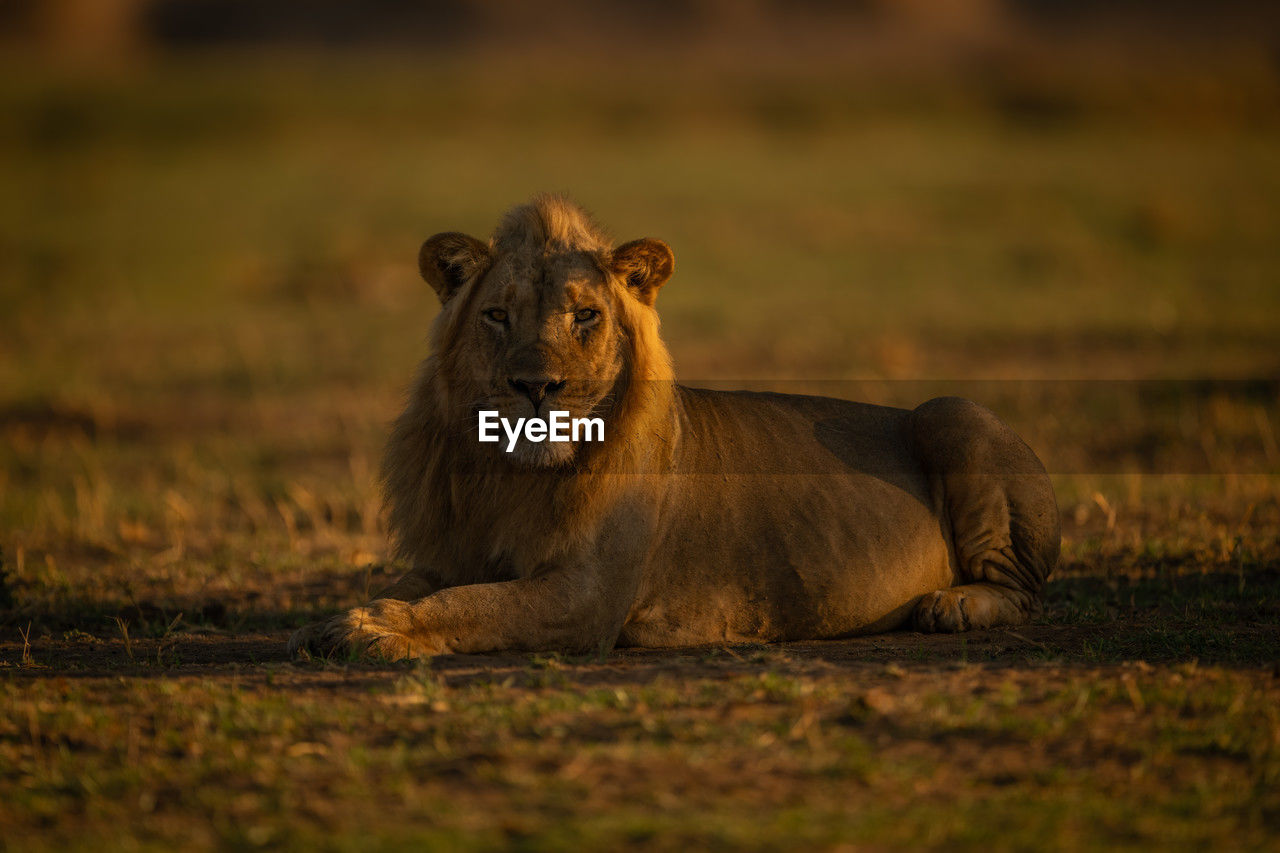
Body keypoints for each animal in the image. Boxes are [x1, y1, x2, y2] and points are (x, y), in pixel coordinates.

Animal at [288, 195, 1060, 661]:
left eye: (585, 316)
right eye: (498, 315)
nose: (536, 387)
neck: (509, 477)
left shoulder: (589, 595)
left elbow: (475, 605)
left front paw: (376, 628)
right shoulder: (454, 550)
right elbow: (427, 585)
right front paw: (352, 614)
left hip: (953, 412)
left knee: (1026, 593)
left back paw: (952, 605)